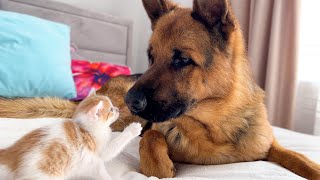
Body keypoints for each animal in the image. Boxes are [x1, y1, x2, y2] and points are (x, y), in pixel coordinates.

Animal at [0, 89, 142, 179]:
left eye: (113, 106)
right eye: (111, 110)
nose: (117, 109)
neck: (86, 128)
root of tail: (13, 154)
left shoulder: (93, 162)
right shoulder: (99, 152)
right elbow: (113, 148)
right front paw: (133, 129)